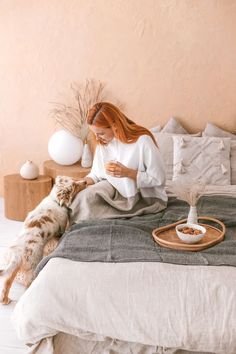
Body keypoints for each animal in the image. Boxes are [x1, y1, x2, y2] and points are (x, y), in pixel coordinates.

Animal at [0, 174, 86, 304]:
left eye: (74, 180)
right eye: (74, 186)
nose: (85, 182)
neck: (54, 200)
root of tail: (18, 254)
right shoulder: (60, 229)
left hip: (14, 267)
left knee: (7, 281)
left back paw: (5, 300)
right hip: (32, 267)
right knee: (27, 284)